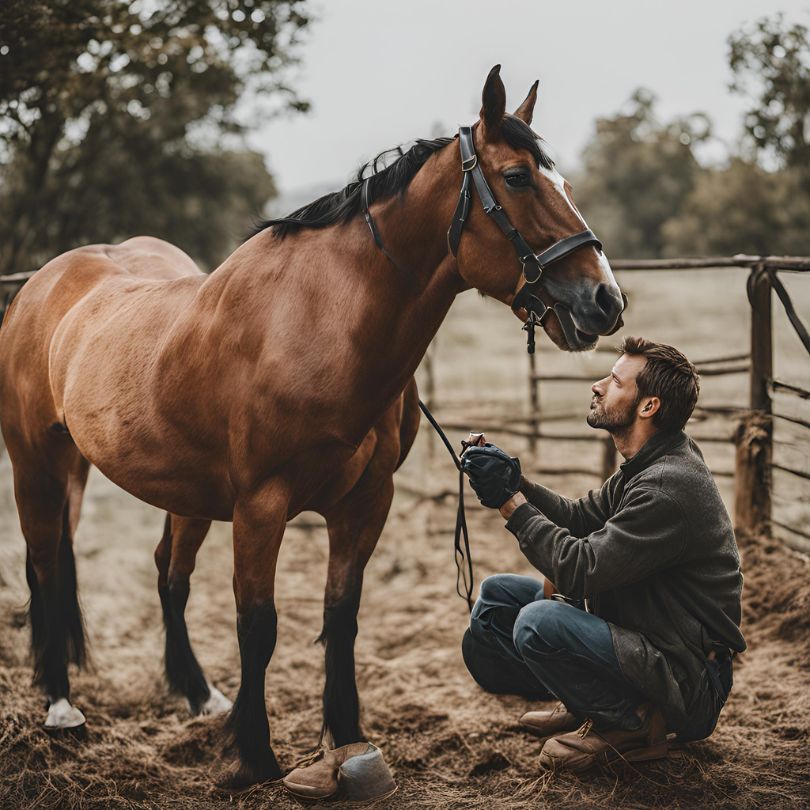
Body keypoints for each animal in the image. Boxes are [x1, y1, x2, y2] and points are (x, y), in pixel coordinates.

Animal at [0, 66, 624, 784]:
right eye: (518, 177)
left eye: (565, 183)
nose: (606, 300)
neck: (321, 326)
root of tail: (43, 282)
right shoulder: (260, 506)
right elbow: (258, 626)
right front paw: (256, 754)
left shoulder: (365, 502)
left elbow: (341, 616)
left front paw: (345, 739)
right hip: (37, 467)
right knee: (46, 568)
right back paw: (60, 704)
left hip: (175, 493)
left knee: (167, 576)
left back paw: (197, 694)